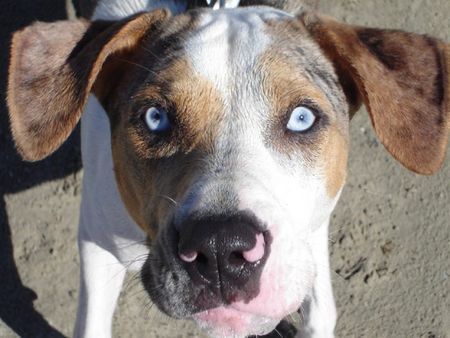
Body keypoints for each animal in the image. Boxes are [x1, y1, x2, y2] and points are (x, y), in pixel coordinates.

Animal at [5, 0, 448, 336]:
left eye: (302, 118)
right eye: (154, 118)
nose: (220, 247)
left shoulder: (311, 233)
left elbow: (320, 309)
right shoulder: (96, 244)